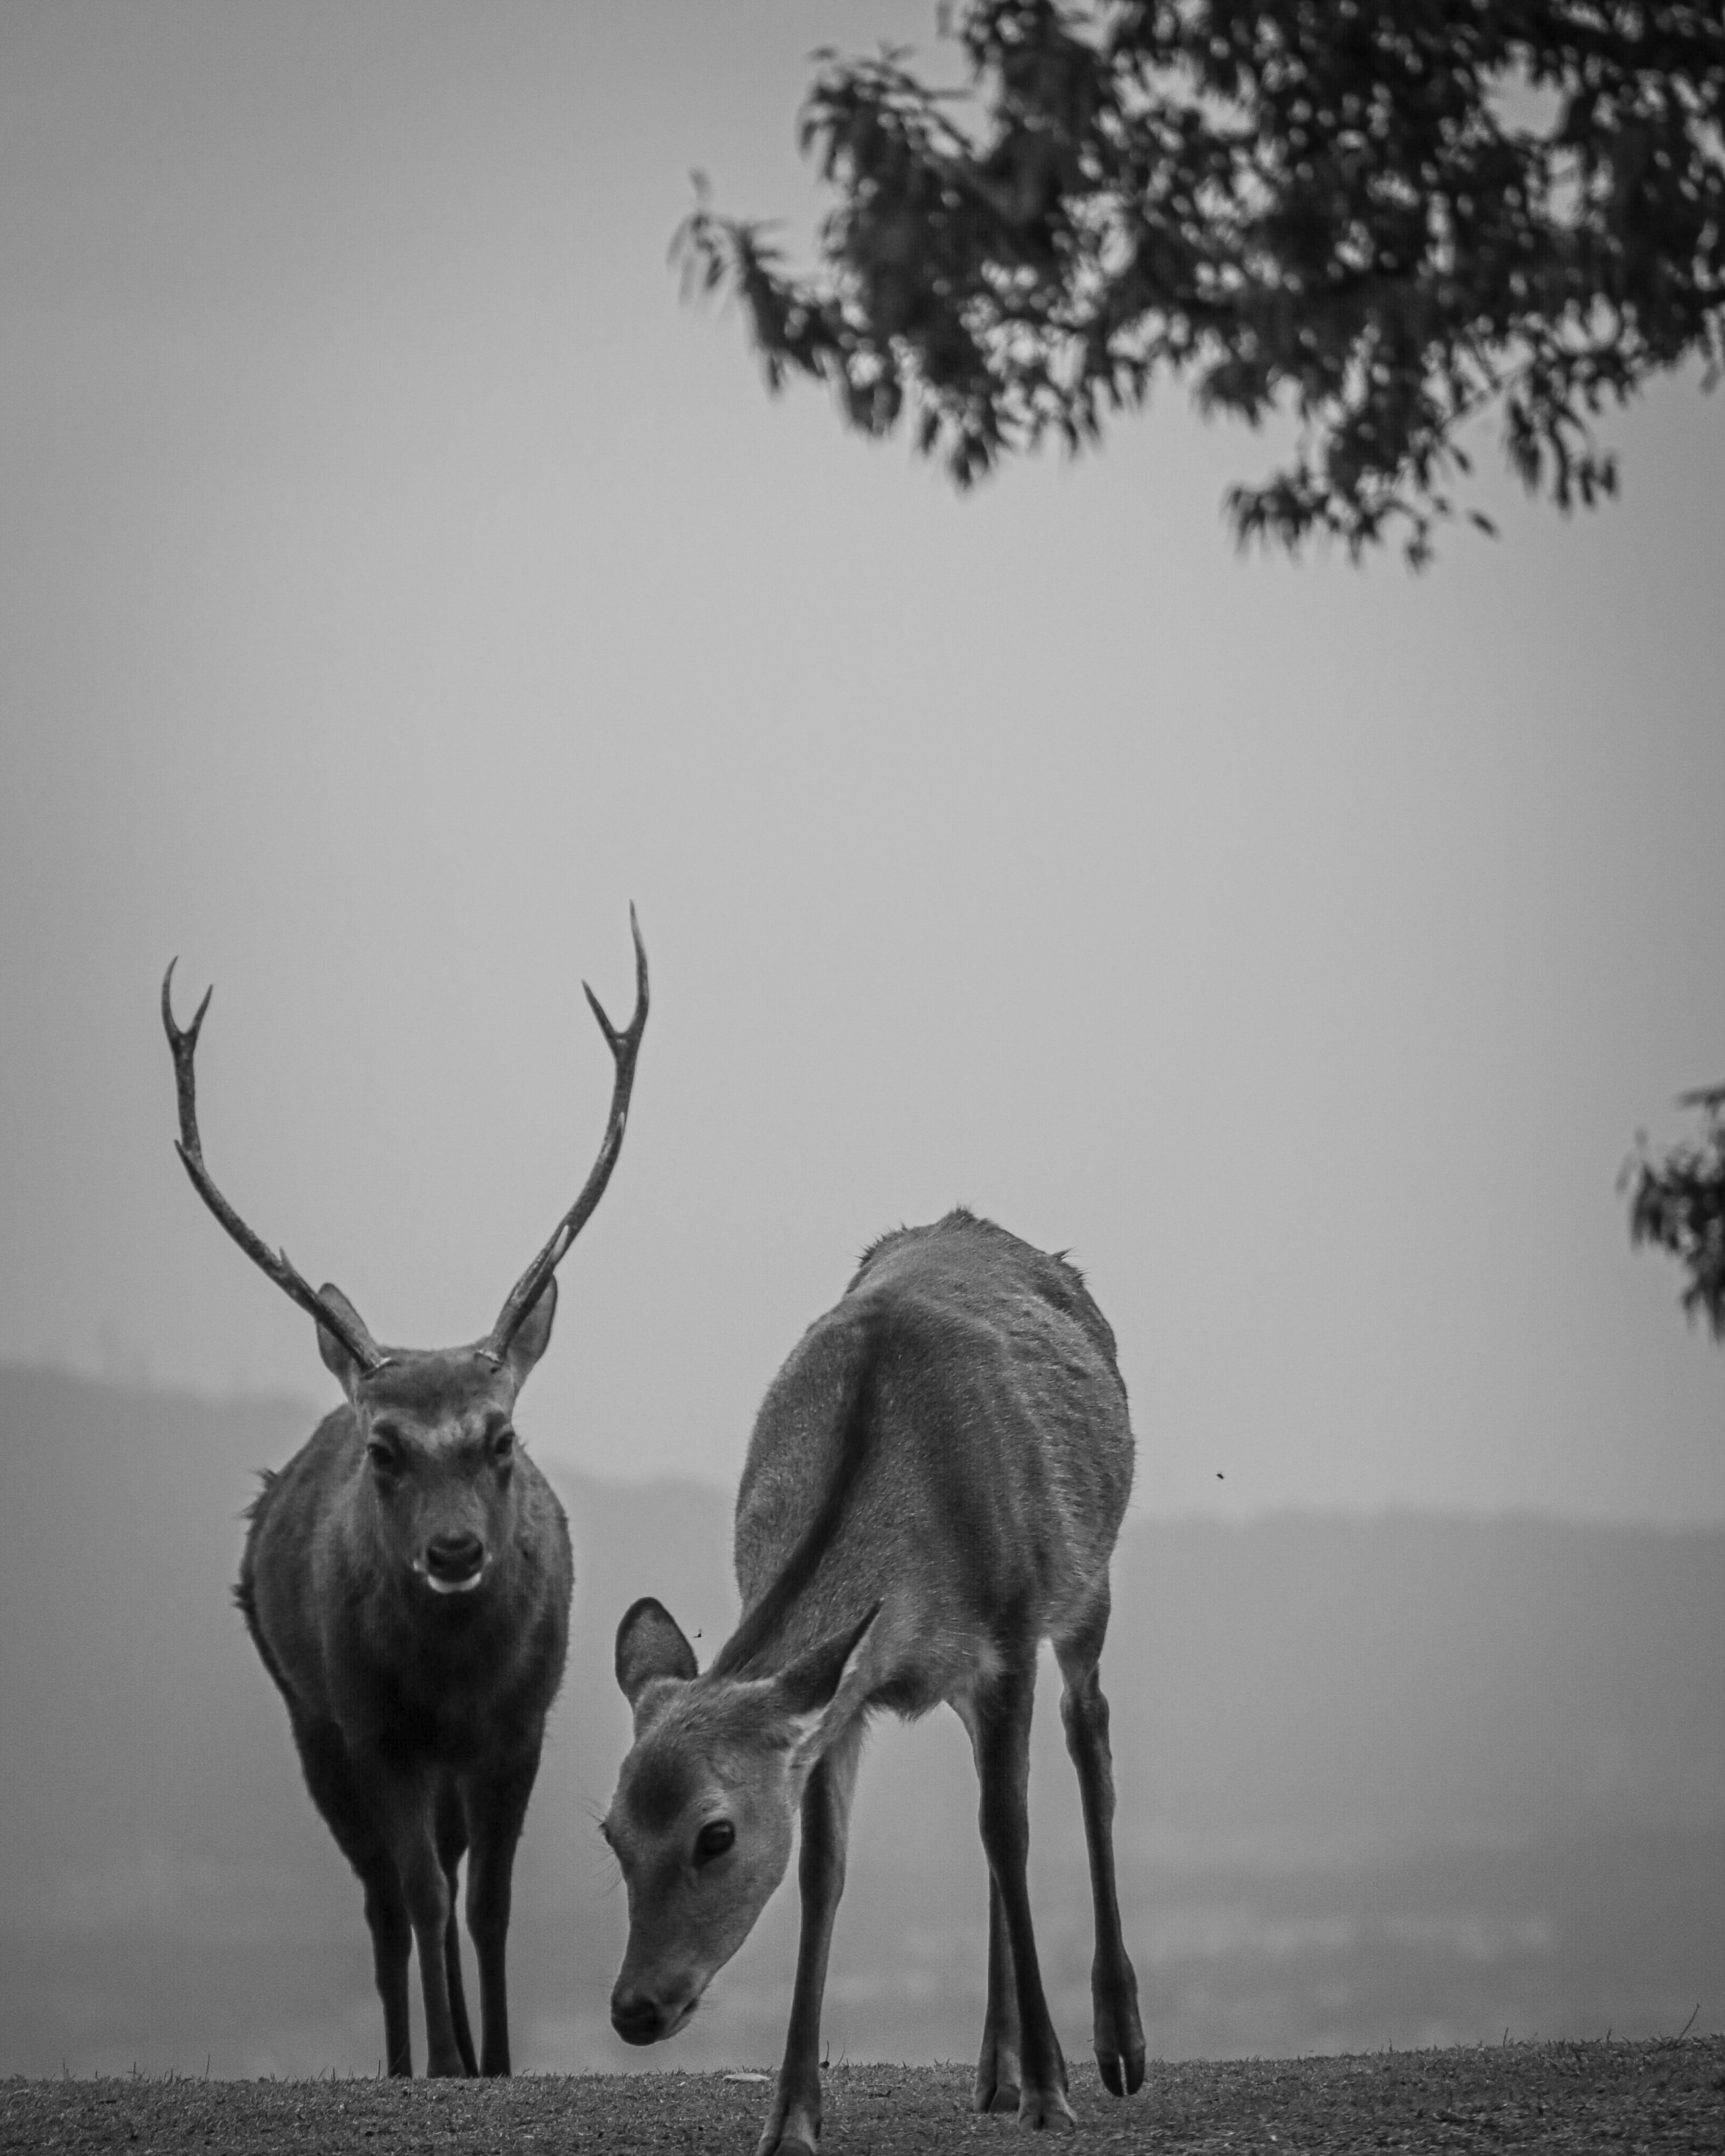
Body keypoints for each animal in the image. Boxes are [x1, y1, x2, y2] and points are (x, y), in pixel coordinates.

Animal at [159, 906, 647, 2070]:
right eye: (385, 1449)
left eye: (500, 1435)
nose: (456, 1551)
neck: (453, 1678)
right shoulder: (372, 1727)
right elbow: (421, 1899)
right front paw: (451, 2064)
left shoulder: (519, 1726)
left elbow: (491, 1905)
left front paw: (500, 2061)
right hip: (311, 1723)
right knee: (385, 1899)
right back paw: (407, 2055)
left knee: (447, 1877)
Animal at [604, 1207, 1147, 2147]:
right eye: (610, 1833)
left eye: (716, 1835)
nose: (634, 2010)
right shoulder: (841, 1697)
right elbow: (825, 1871)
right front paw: (790, 2117)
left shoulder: (1009, 1633)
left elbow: (1009, 1832)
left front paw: (1053, 2092)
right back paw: (996, 2067)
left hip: (1086, 1582)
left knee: (1088, 1737)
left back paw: (1112, 2045)